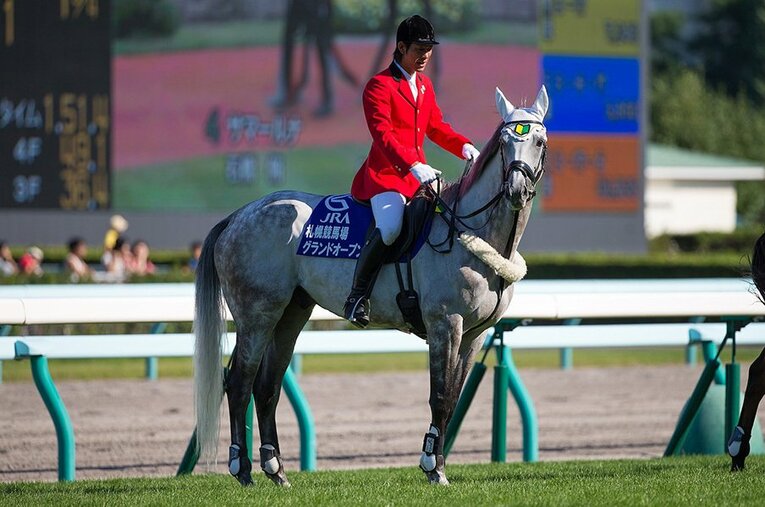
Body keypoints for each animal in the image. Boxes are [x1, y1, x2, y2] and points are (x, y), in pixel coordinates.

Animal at [193, 85, 549, 486]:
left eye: (539, 141)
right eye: (504, 142)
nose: (517, 189)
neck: (469, 230)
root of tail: (239, 214)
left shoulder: (474, 335)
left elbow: (453, 400)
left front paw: (439, 465)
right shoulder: (446, 325)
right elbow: (440, 396)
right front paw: (432, 466)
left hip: (289, 316)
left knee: (266, 387)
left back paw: (276, 470)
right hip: (257, 317)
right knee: (239, 383)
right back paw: (242, 470)